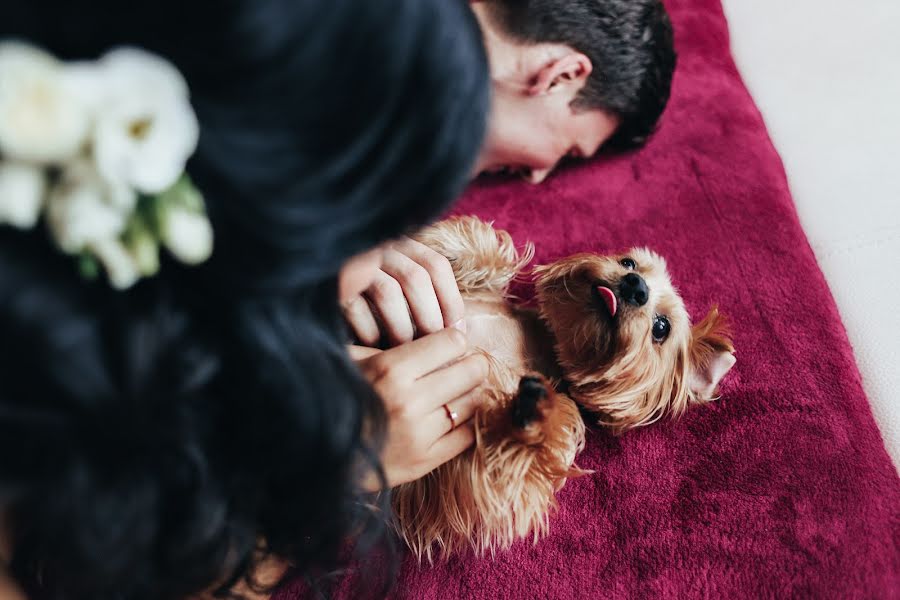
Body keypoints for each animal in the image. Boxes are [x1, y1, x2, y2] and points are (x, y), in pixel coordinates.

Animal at [394, 217, 732, 564]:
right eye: (628, 262)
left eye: (661, 328)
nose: (636, 286)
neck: (546, 344)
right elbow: (484, 251)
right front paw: (445, 247)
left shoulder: (446, 477)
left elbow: (501, 472)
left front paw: (532, 418)